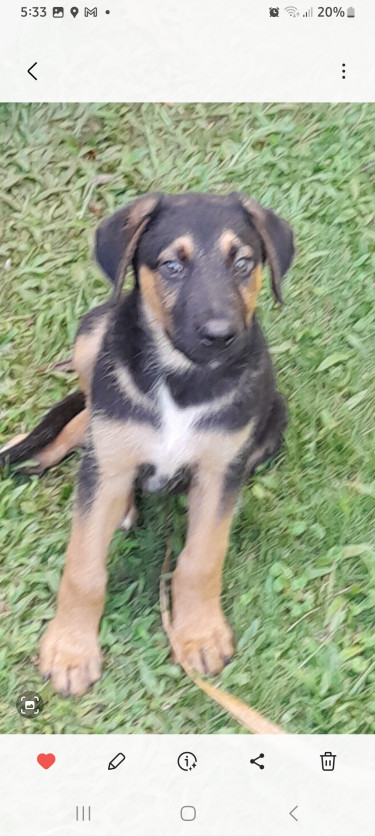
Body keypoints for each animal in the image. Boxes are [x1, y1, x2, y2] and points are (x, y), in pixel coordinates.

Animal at [0, 193, 296, 696]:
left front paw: (199, 633)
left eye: (243, 263)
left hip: (273, 418)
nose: (220, 336)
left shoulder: (221, 472)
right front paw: (71, 649)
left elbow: (202, 558)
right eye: (172, 266)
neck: (182, 378)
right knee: (88, 412)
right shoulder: (107, 465)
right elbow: (83, 568)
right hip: (94, 333)